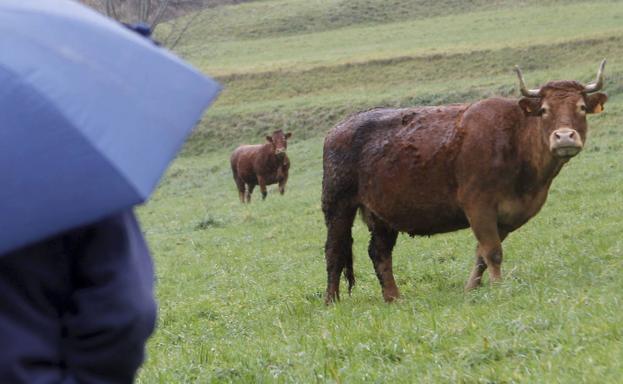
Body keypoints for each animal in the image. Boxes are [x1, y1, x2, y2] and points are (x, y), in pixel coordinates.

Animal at [324, 60, 608, 304]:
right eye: (545, 110)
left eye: (581, 108)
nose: (564, 137)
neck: (515, 140)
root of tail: (340, 127)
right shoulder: (478, 206)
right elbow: (493, 251)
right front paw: (498, 287)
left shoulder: (505, 217)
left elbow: (481, 254)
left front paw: (471, 288)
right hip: (338, 206)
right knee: (335, 251)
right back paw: (332, 301)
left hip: (382, 214)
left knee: (380, 252)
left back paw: (393, 298)